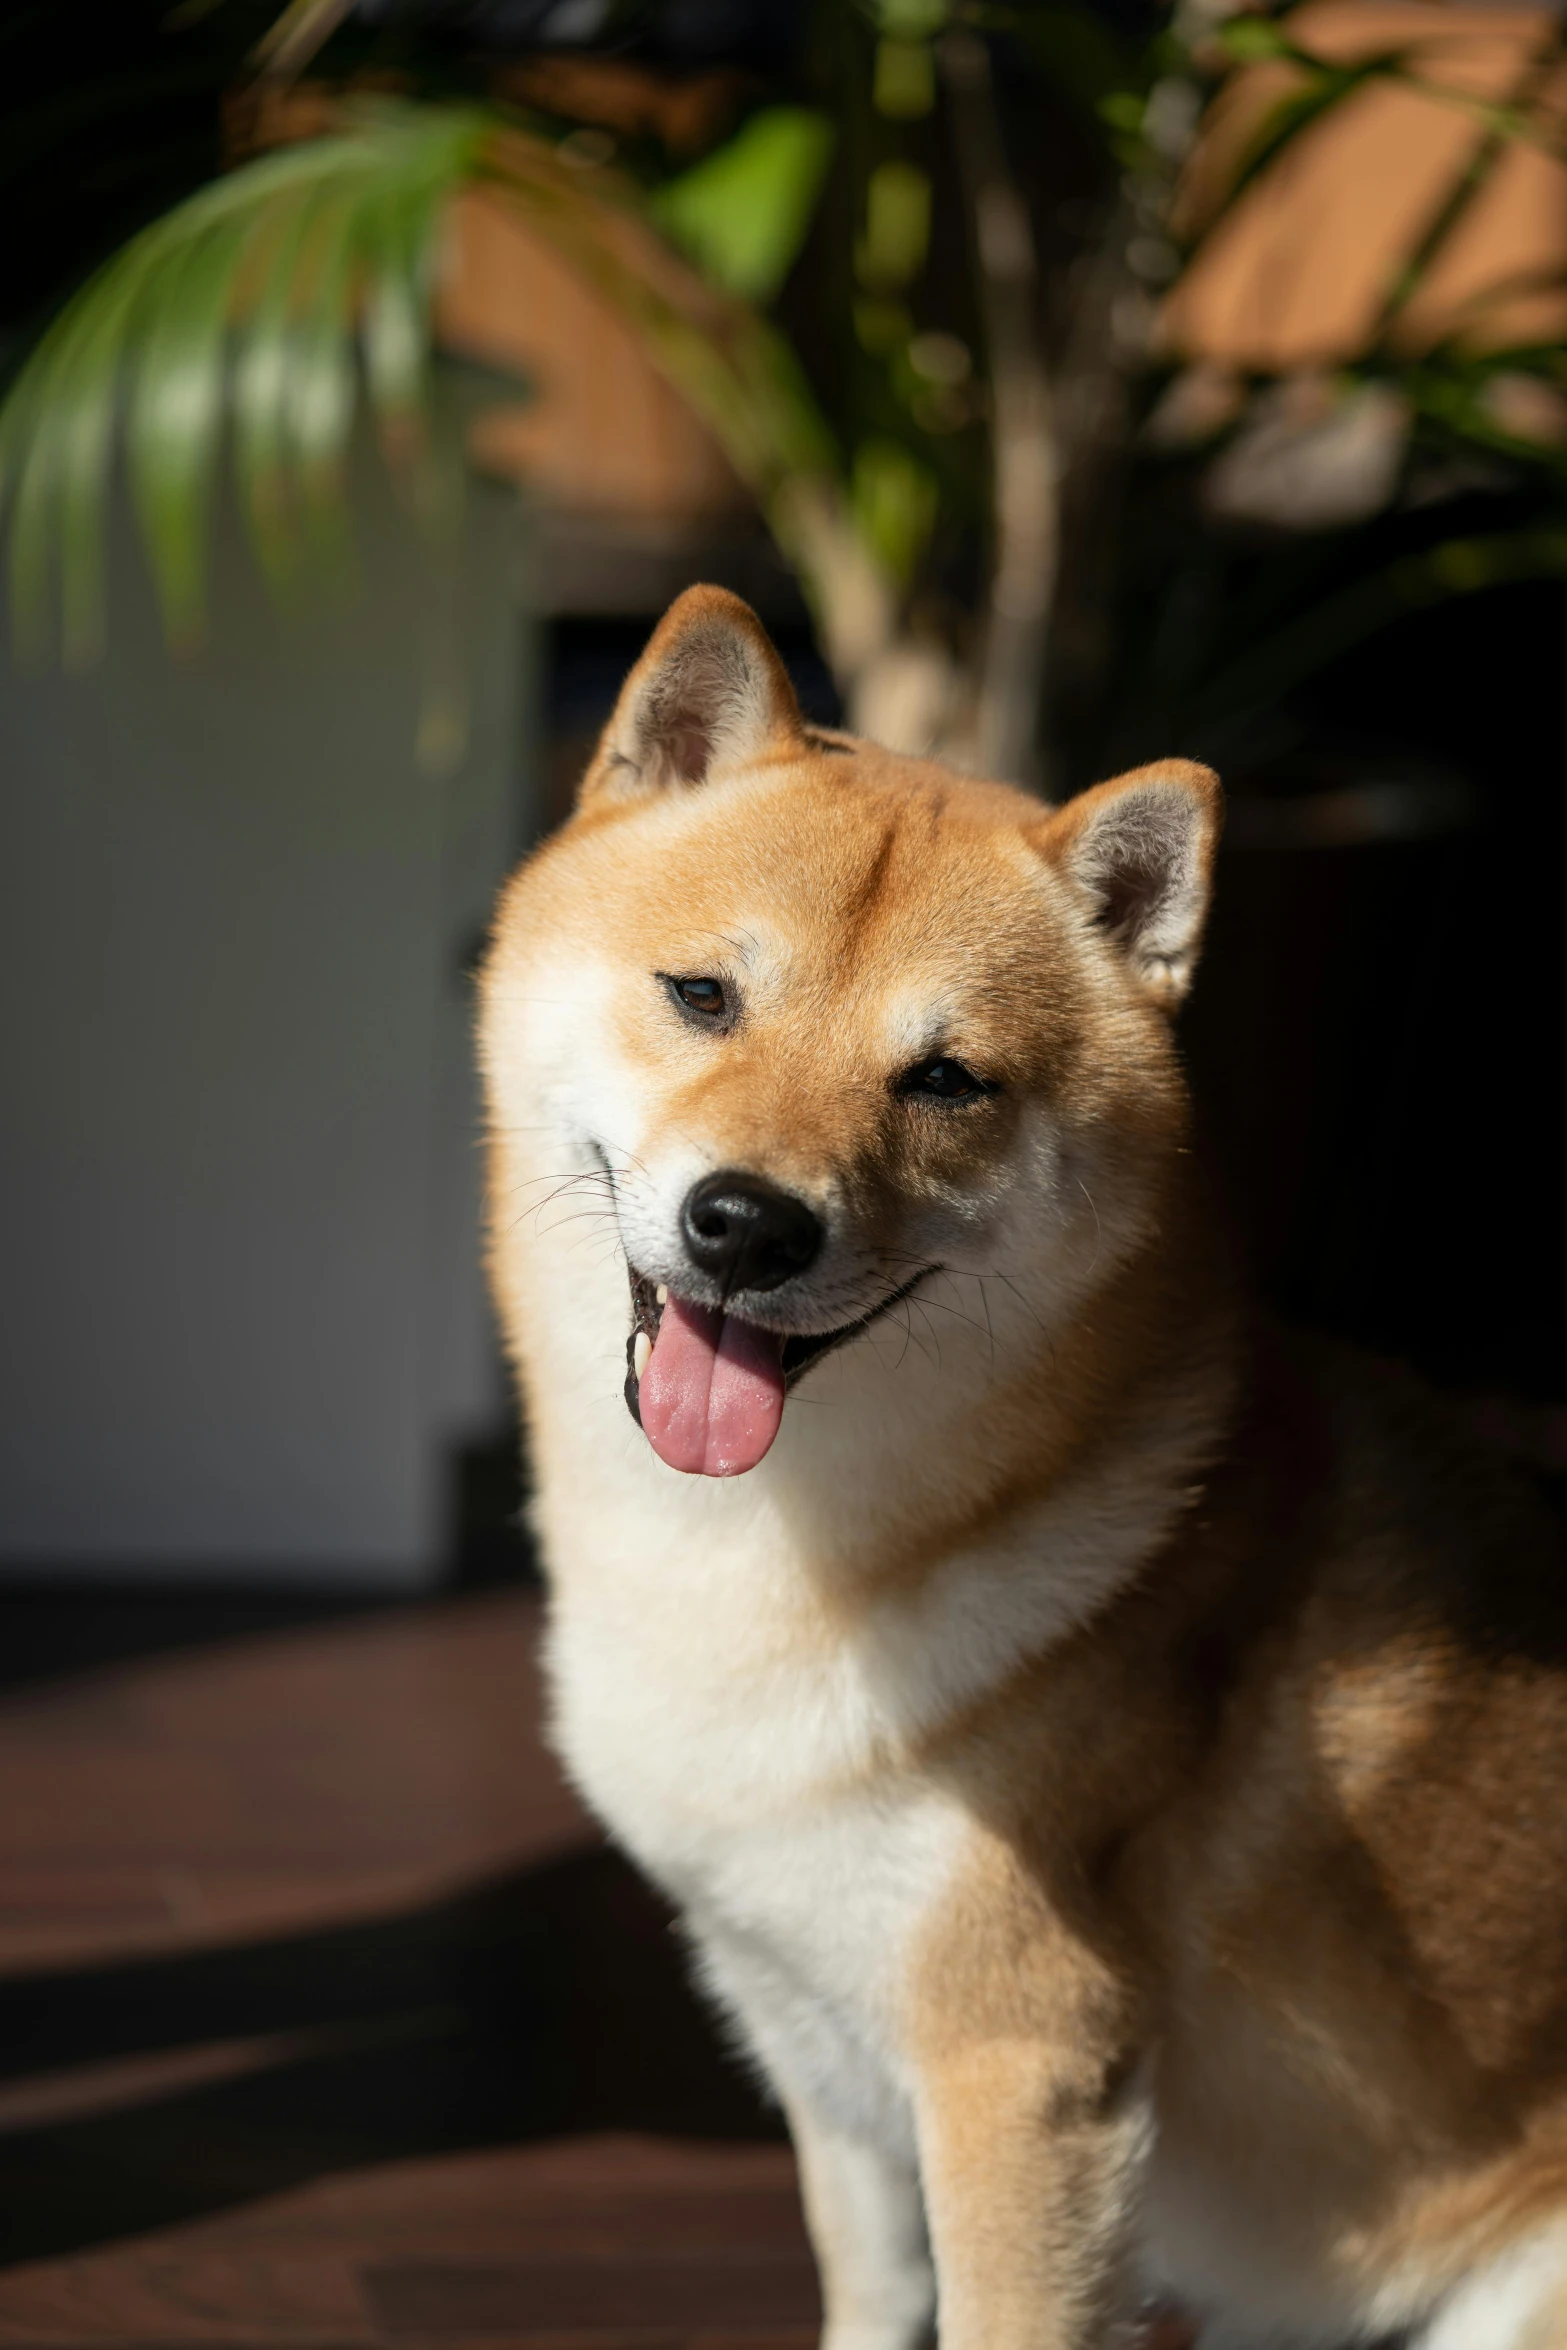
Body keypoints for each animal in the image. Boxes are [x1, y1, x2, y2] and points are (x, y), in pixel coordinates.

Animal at [483, 587, 1567, 2350]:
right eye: (702, 995)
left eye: (945, 1079)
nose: (746, 1224)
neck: (767, 1570)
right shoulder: (826, 2051)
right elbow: (869, 2296)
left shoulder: (1017, 2074)